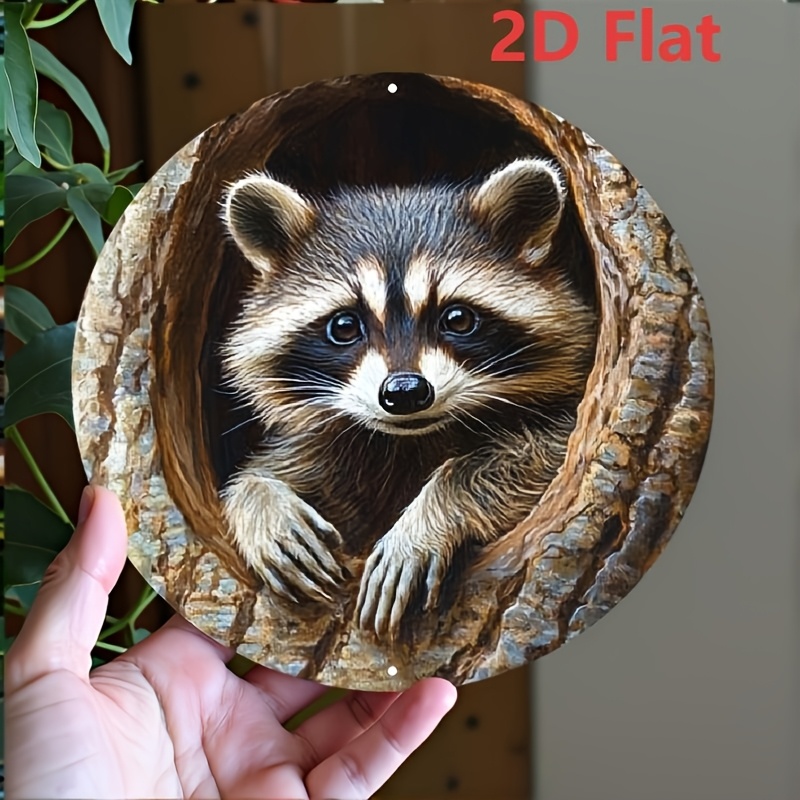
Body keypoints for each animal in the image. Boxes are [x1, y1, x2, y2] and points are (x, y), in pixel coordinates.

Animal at [219, 158, 597, 638]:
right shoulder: (331, 447)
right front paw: (261, 501)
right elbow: (264, 473)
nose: (405, 392)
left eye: (457, 319)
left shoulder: (570, 423)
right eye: (345, 326)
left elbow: (551, 451)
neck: (407, 440)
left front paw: (431, 514)